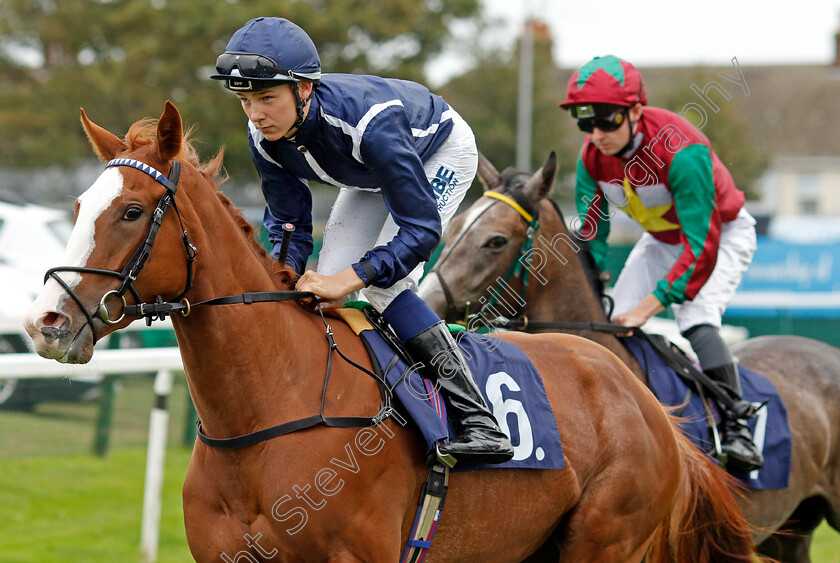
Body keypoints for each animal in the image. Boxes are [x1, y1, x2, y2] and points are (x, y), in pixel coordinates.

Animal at [26, 103, 760, 560]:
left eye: (131, 210)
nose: (45, 321)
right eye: (78, 206)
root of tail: (647, 401)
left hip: (605, 539)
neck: (267, 410)